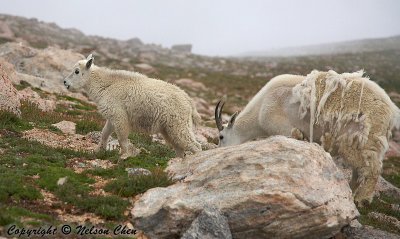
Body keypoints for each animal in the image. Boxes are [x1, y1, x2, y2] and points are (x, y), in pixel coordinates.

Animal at [64, 54, 202, 159]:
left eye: (77, 71)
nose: (65, 82)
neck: (105, 86)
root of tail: (188, 100)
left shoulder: (119, 115)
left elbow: (121, 137)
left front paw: (127, 154)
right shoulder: (112, 116)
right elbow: (104, 133)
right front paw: (98, 151)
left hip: (178, 123)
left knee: (193, 145)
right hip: (168, 128)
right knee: (179, 146)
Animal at [216, 70, 400, 204]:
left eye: (221, 136)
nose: (219, 151)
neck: (260, 109)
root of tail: (391, 111)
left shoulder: (284, 129)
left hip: (361, 139)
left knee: (372, 169)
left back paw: (361, 199)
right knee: (359, 169)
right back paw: (351, 191)